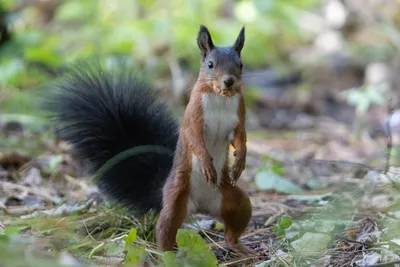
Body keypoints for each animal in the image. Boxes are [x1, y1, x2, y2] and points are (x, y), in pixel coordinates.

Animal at [47, 25, 252, 255]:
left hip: (233, 200)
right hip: (176, 198)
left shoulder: (238, 116)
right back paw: (165, 253)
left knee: (235, 222)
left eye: (240, 64)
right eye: (210, 64)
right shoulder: (194, 115)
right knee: (165, 227)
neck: (220, 97)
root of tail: (200, 206)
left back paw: (239, 247)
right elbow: (194, 138)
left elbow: (241, 137)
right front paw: (207, 163)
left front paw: (240, 161)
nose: (229, 81)